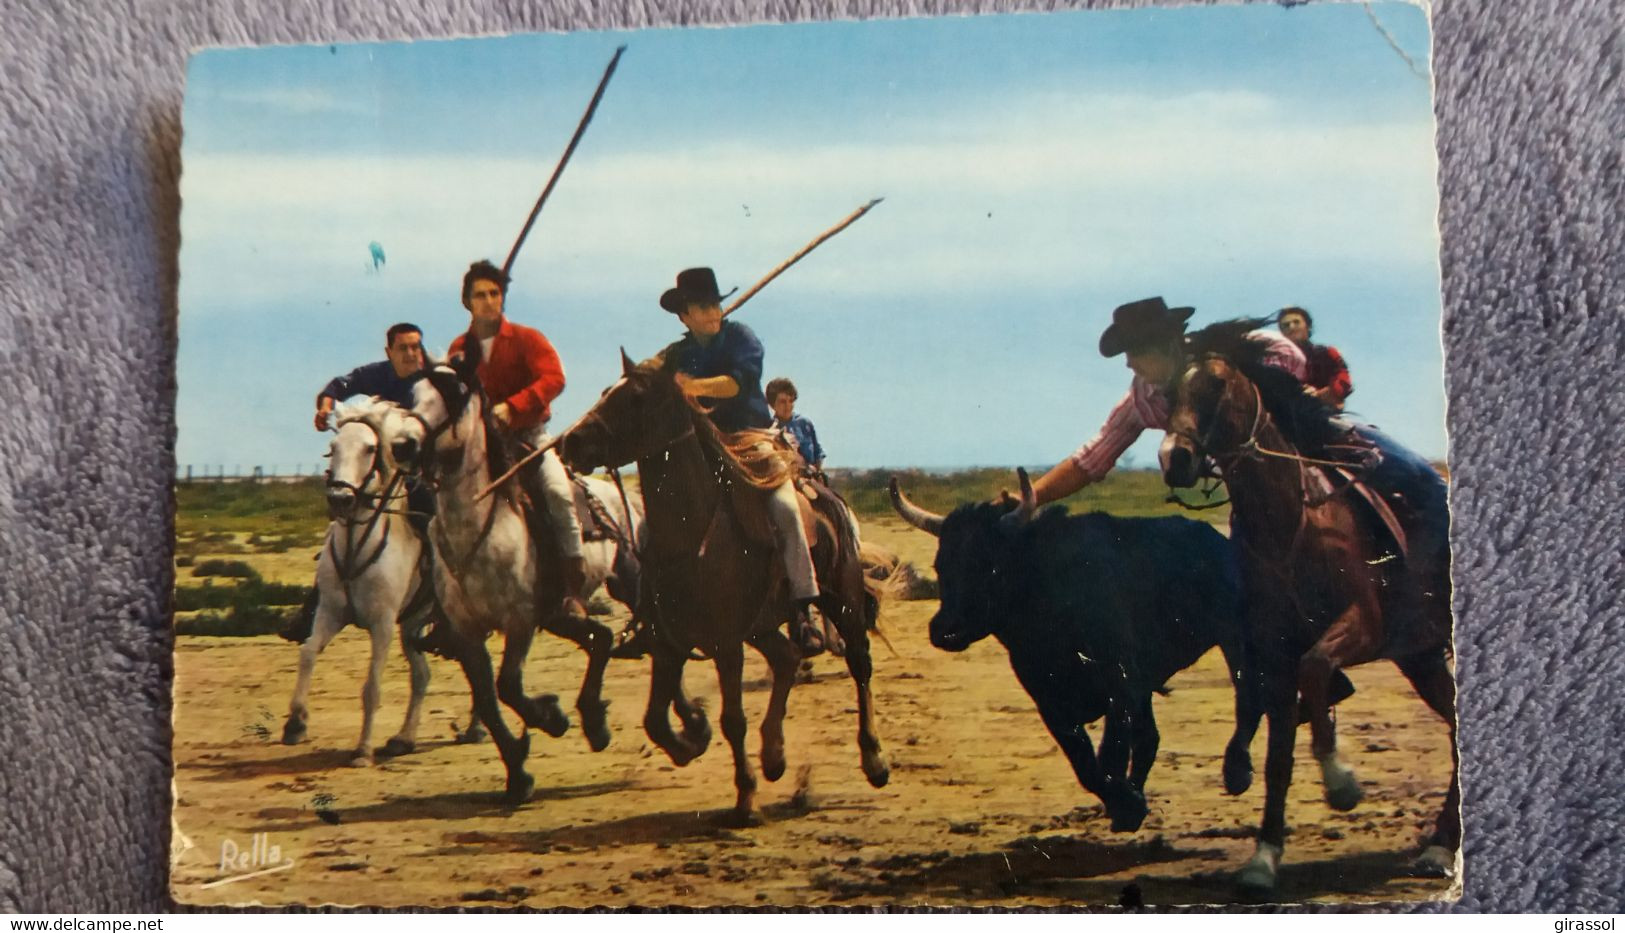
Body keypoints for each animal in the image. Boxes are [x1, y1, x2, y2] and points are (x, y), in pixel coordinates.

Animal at [282, 403, 474, 767]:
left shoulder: (382, 624)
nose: (340, 498)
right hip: (412, 626)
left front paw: (362, 750)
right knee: (422, 676)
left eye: (370, 448)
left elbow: (371, 686)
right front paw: (295, 724)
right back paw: (404, 739)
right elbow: (308, 652)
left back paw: (475, 729)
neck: (357, 544)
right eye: (333, 448)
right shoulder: (331, 613)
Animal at [388, 357, 646, 806]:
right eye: (412, 394)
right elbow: (489, 701)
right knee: (600, 639)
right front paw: (518, 774)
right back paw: (594, 722)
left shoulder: (520, 621)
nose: (403, 445)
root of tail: (619, 497)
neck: (479, 529)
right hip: (561, 614)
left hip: (622, 585)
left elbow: (507, 686)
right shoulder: (466, 633)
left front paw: (551, 717)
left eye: (453, 395)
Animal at [555, 352, 890, 825]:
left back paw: (873, 759)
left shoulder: (727, 644)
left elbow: (733, 719)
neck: (691, 534)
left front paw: (745, 797)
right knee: (786, 658)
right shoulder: (669, 642)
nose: (571, 442)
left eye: (636, 396)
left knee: (859, 664)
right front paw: (691, 741)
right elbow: (655, 720)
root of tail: (824, 494)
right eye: (606, 392)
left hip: (842, 602)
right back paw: (774, 756)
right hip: (763, 625)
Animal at [890, 474, 1254, 832]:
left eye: (989, 565)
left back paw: (1237, 773)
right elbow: (1085, 764)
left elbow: (1110, 755)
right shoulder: (1051, 702)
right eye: (941, 565)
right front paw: (1127, 803)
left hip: (1236, 639)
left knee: (1248, 697)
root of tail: (1217, 540)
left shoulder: (1119, 684)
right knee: (1149, 737)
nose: (944, 630)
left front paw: (1128, 806)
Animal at [1163, 323, 1456, 897]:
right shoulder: (1273, 655)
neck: (1289, 524)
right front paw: (1263, 859)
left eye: (1216, 384)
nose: (1174, 459)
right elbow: (1278, 756)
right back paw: (1439, 844)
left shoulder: (1361, 625)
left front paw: (1341, 782)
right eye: (1168, 393)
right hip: (1423, 657)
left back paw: (1442, 846)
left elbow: (1318, 667)